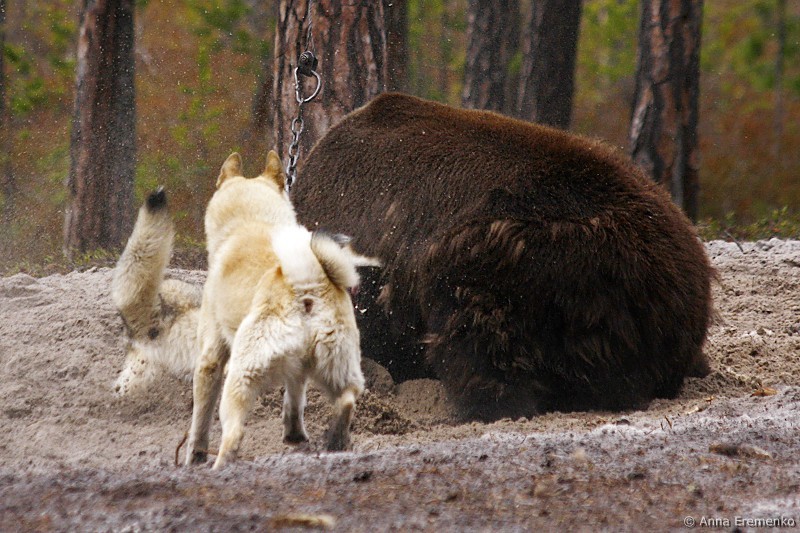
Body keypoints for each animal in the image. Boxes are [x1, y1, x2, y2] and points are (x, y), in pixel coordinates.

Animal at [184, 150, 374, 469]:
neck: (249, 221)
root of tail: (306, 282)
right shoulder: (298, 371)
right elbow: (295, 399)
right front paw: (294, 434)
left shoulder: (210, 359)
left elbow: (200, 419)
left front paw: (194, 457)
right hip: (337, 368)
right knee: (347, 400)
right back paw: (336, 439)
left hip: (240, 377)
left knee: (233, 434)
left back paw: (220, 466)